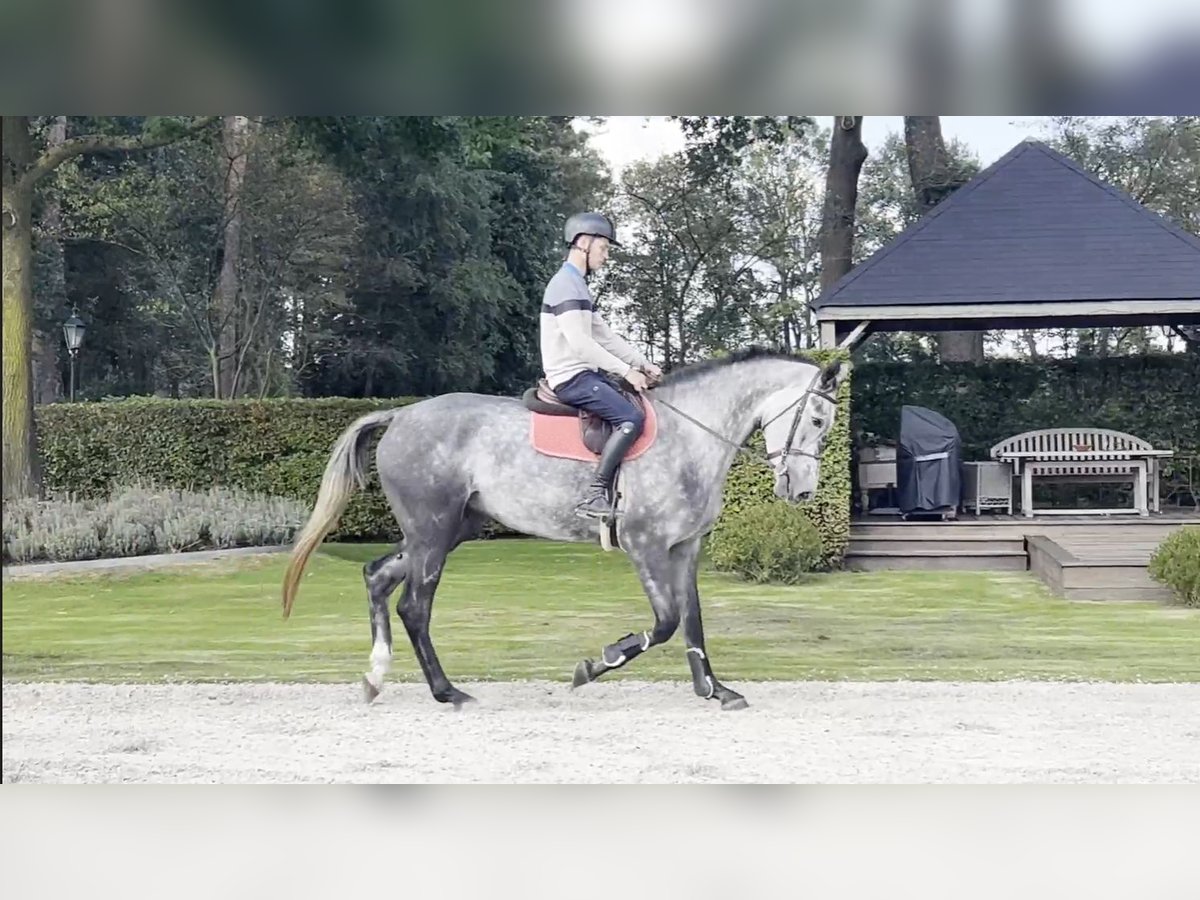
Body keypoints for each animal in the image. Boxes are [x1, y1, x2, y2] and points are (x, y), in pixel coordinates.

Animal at [282, 350, 849, 710]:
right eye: (818, 421)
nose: (802, 491)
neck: (691, 435)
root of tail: (400, 415)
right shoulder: (644, 545)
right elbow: (665, 622)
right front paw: (598, 663)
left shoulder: (684, 548)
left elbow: (693, 621)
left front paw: (714, 689)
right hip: (433, 533)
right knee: (414, 607)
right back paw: (447, 692)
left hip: (446, 531)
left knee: (378, 578)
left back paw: (376, 677)